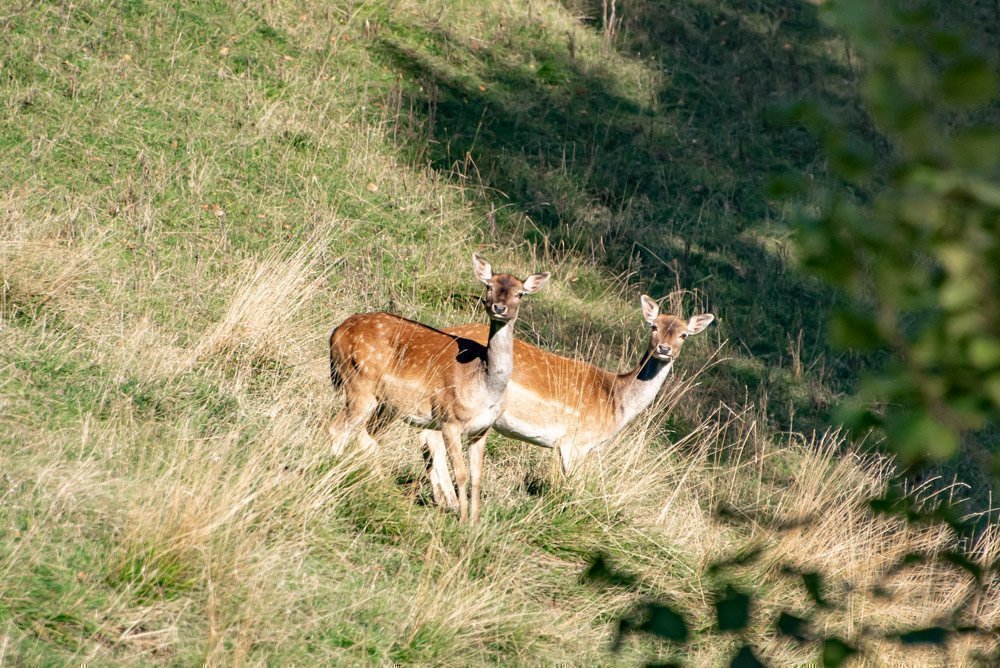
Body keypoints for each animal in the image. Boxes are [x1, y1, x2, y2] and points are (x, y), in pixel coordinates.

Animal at [328, 252, 552, 520]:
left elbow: (477, 477)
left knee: (365, 437)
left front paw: (475, 522)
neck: (485, 386)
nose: (499, 307)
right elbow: (461, 473)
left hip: (386, 405)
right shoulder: (449, 420)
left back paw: (377, 487)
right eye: (489, 286)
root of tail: (336, 332)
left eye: (520, 294)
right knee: (337, 428)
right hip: (358, 383)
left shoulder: (482, 429)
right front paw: (462, 519)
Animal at [418, 294, 716, 508]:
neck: (616, 402)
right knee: (433, 437)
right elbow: (575, 487)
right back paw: (449, 500)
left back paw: (440, 497)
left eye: (683, 334)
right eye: (653, 326)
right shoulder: (573, 442)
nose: (665, 349)